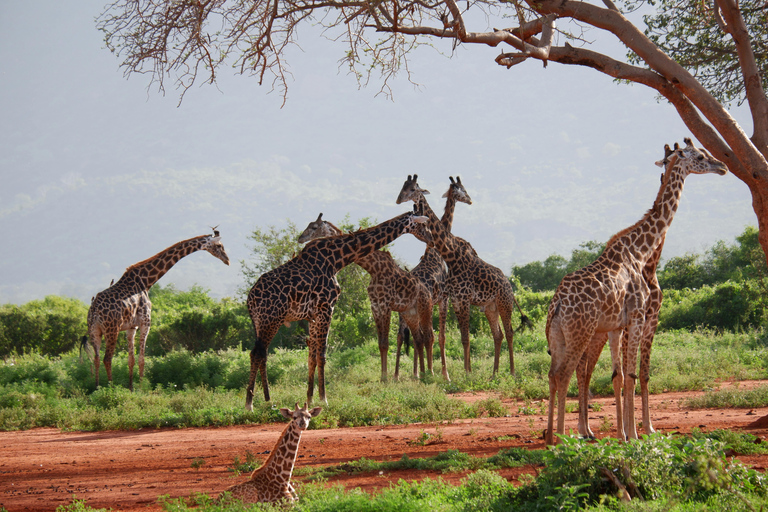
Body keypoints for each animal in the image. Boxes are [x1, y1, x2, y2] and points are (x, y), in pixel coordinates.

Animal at [84, 231, 230, 388]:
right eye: (219, 245)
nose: (227, 260)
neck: (146, 281)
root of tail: (94, 311)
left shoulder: (132, 327)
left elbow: (131, 360)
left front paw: (131, 388)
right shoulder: (146, 322)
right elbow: (142, 359)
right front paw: (141, 388)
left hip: (94, 330)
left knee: (96, 358)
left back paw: (97, 387)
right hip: (112, 329)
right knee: (107, 358)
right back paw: (110, 388)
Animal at [296, 214, 436, 382]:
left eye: (314, 227)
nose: (301, 238)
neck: (373, 268)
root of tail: (427, 292)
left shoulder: (385, 305)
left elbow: (386, 343)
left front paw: (385, 378)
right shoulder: (375, 306)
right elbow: (381, 344)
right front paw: (383, 377)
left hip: (425, 308)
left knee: (429, 336)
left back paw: (432, 374)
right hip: (409, 313)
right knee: (419, 338)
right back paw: (420, 374)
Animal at [396, 175, 528, 376]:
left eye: (412, 189)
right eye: (404, 188)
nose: (470, 199)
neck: (451, 256)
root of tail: (508, 284)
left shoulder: (459, 299)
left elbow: (461, 338)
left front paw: (465, 372)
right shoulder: (456, 300)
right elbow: (460, 338)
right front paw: (465, 372)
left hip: (503, 303)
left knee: (509, 332)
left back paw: (511, 372)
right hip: (490, 307)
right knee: (498, 335)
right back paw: (494, 373)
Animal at [544, 139, 728, 444]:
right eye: (701, 156)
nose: (723, 166)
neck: (640, 252)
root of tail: (557, 303)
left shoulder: (619, 324)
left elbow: (621, 375)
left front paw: (627, 434)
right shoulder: (639, 317)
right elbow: (632, 374)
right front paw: (635, 434)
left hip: (558, 335)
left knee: (552, 374)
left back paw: (550, 436)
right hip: (582, 331)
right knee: (566, 374)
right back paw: (563, 439)